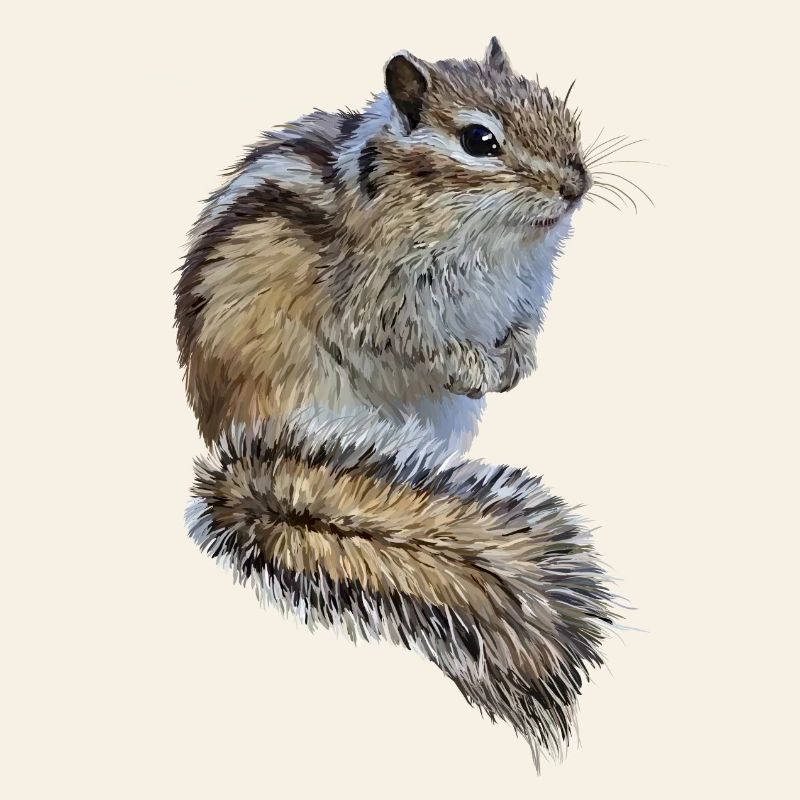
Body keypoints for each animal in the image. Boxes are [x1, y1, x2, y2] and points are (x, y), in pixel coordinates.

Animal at [175, 37, 615, 764]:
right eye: (478, 140)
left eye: (557, 107)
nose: (575, 187)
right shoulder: (379, 302)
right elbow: (409, 341)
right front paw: (474, 365)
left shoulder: (525, 292)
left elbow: (521, 329)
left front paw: (517, 360)